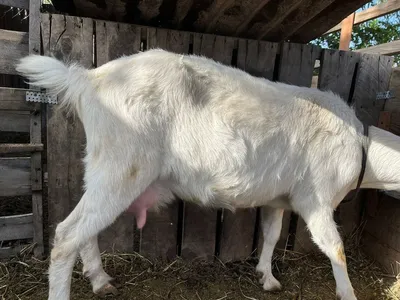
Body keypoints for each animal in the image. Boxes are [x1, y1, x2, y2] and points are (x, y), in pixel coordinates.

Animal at [15, 49, 400, 300]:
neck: (361, 145)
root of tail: (88, 80)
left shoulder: (279, 198)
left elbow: (272, 234)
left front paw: (267, 277)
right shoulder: (316, 199)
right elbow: (335, 248)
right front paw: (348, 292)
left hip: (101, 167)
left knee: (85, 229)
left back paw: (99, 280)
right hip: (123, 166)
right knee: (67, 234)